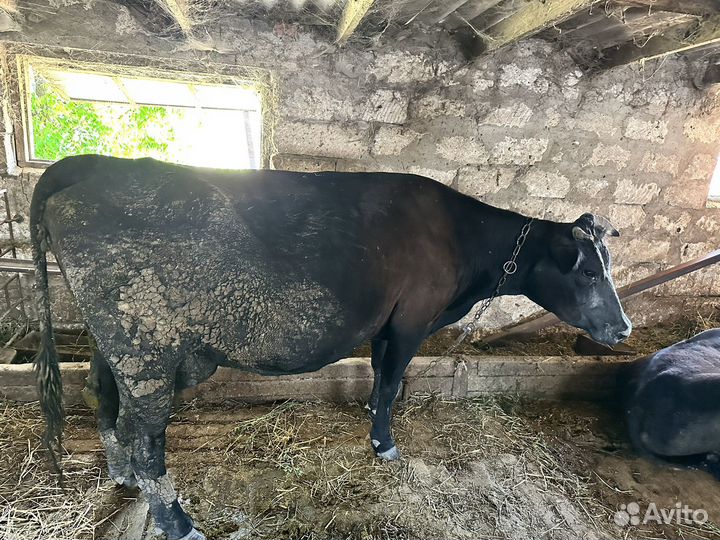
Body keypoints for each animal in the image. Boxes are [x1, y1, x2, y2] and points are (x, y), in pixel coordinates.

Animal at [31, 154, 631, 540]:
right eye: (588, 273)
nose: (624, 329)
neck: (459, 238)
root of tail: (90, 164)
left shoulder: (385, 324)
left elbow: (378, 377)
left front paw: (371, 427)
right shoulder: (411, 321)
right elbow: (391, 383)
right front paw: (384, 443)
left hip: (113, 341)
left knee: (100, 395)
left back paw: (121, 475)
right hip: (146, 343)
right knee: (146, 434)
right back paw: (178, 523)